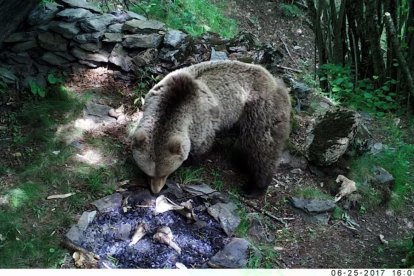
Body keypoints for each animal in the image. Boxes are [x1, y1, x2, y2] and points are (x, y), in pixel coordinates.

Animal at [133, 61, 292, 196]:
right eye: (148, 173)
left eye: (165, 173)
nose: (155, 191)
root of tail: (275, 80)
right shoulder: (154, 96)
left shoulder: (200, 121)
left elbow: (201, 145)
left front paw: (191, 162)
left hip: (260, 110)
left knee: (261, 147)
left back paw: (254, 187)